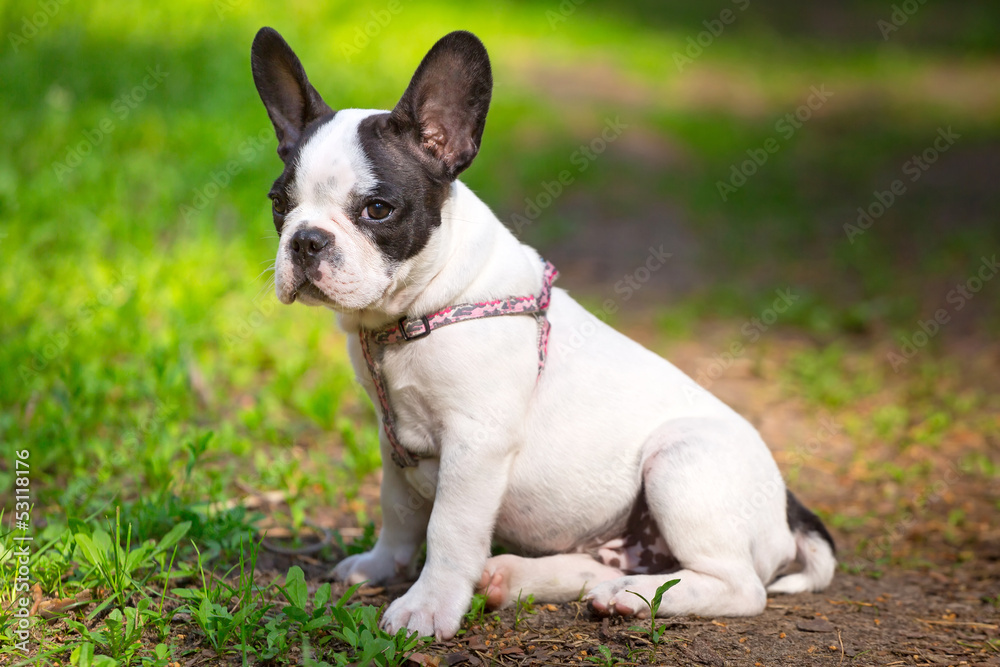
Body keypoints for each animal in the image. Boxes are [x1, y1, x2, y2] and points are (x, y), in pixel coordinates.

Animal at [250, 27, 836, 640]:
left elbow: (447, 529)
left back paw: (634, 599)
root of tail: (787, 508)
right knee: (608, 563)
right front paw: (380, 566)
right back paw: (542, 580)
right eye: (279, 204)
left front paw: (427, 606)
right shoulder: (395, 442)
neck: (418, 311)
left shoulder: (476, 442)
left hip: (681, 464)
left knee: (738, 586)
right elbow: (398, 511)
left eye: (378, 209)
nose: (306, 240)